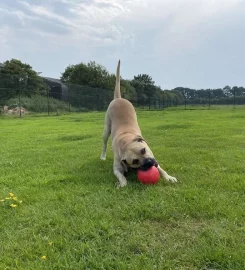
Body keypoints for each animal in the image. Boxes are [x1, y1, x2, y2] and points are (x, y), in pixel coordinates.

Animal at [100, 60, 177, 188]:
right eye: (135, 161)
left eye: (143, 150)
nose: (149, 162)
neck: (125, 142)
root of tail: (119, 98)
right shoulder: (117, 167)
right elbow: (121, 176)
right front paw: (122, 183)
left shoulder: (153, 156)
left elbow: (162, 169)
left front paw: (168, 177)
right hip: (106, 129)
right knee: (104, 144)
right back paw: (102, 156)